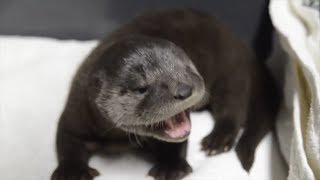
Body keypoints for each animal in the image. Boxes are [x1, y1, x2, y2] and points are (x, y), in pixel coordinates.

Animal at [51, 8, 278, 180]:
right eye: (141, 87)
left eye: (188, 68)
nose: (184, 90)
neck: (118, 138)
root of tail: (241, 44)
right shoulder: (77, 108)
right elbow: (66, 139)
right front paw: (72, 171)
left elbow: (177, 144)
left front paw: (171, 167)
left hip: (232, 73)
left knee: (233, 110)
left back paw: (218, 140)